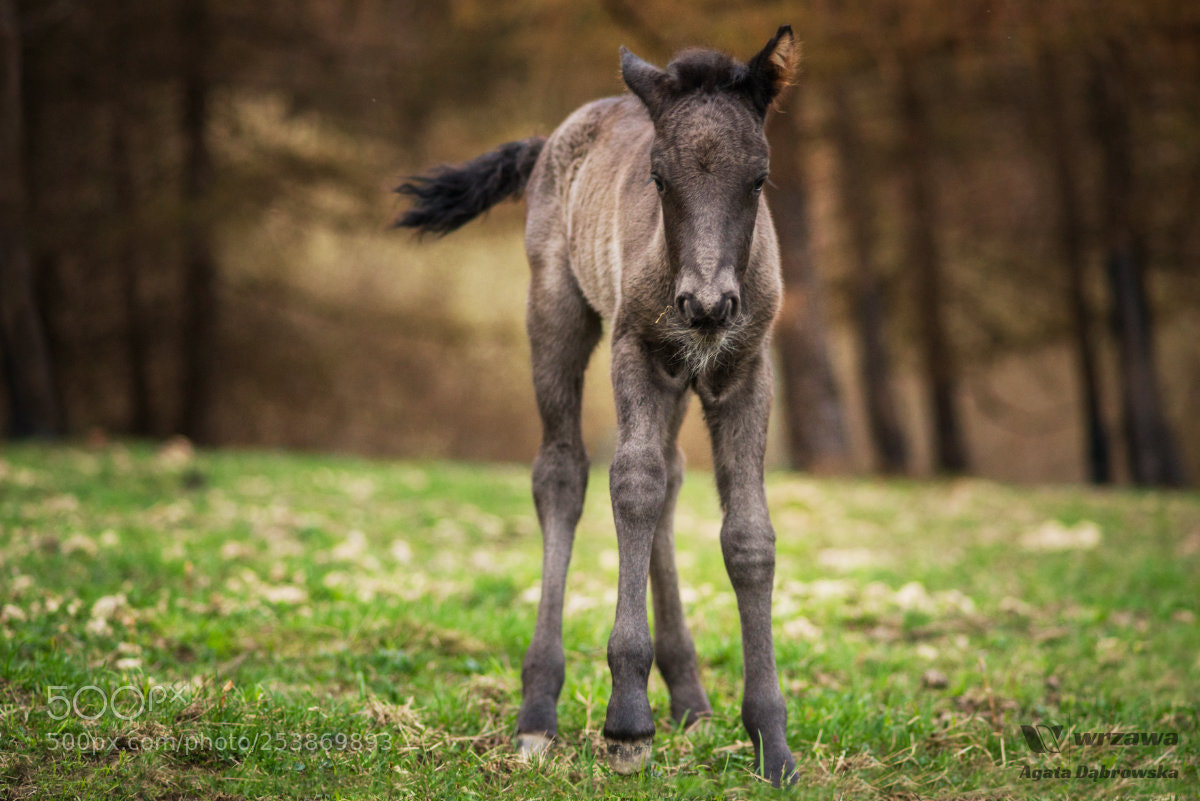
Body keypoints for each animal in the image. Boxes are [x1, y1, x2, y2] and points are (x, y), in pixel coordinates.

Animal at [395, 26, 799, 786]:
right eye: (659, 177)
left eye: (759, 178)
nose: (706, 305)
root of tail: (555, 135)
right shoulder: (633, 348)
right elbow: (631, 487)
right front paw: (627, 724)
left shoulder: (745, 366)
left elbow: (748, 535)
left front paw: (772, 742)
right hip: (556, 311)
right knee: (563, 473)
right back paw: (538, 711)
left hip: (677, 375)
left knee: (670, 478)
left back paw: (690, 697)